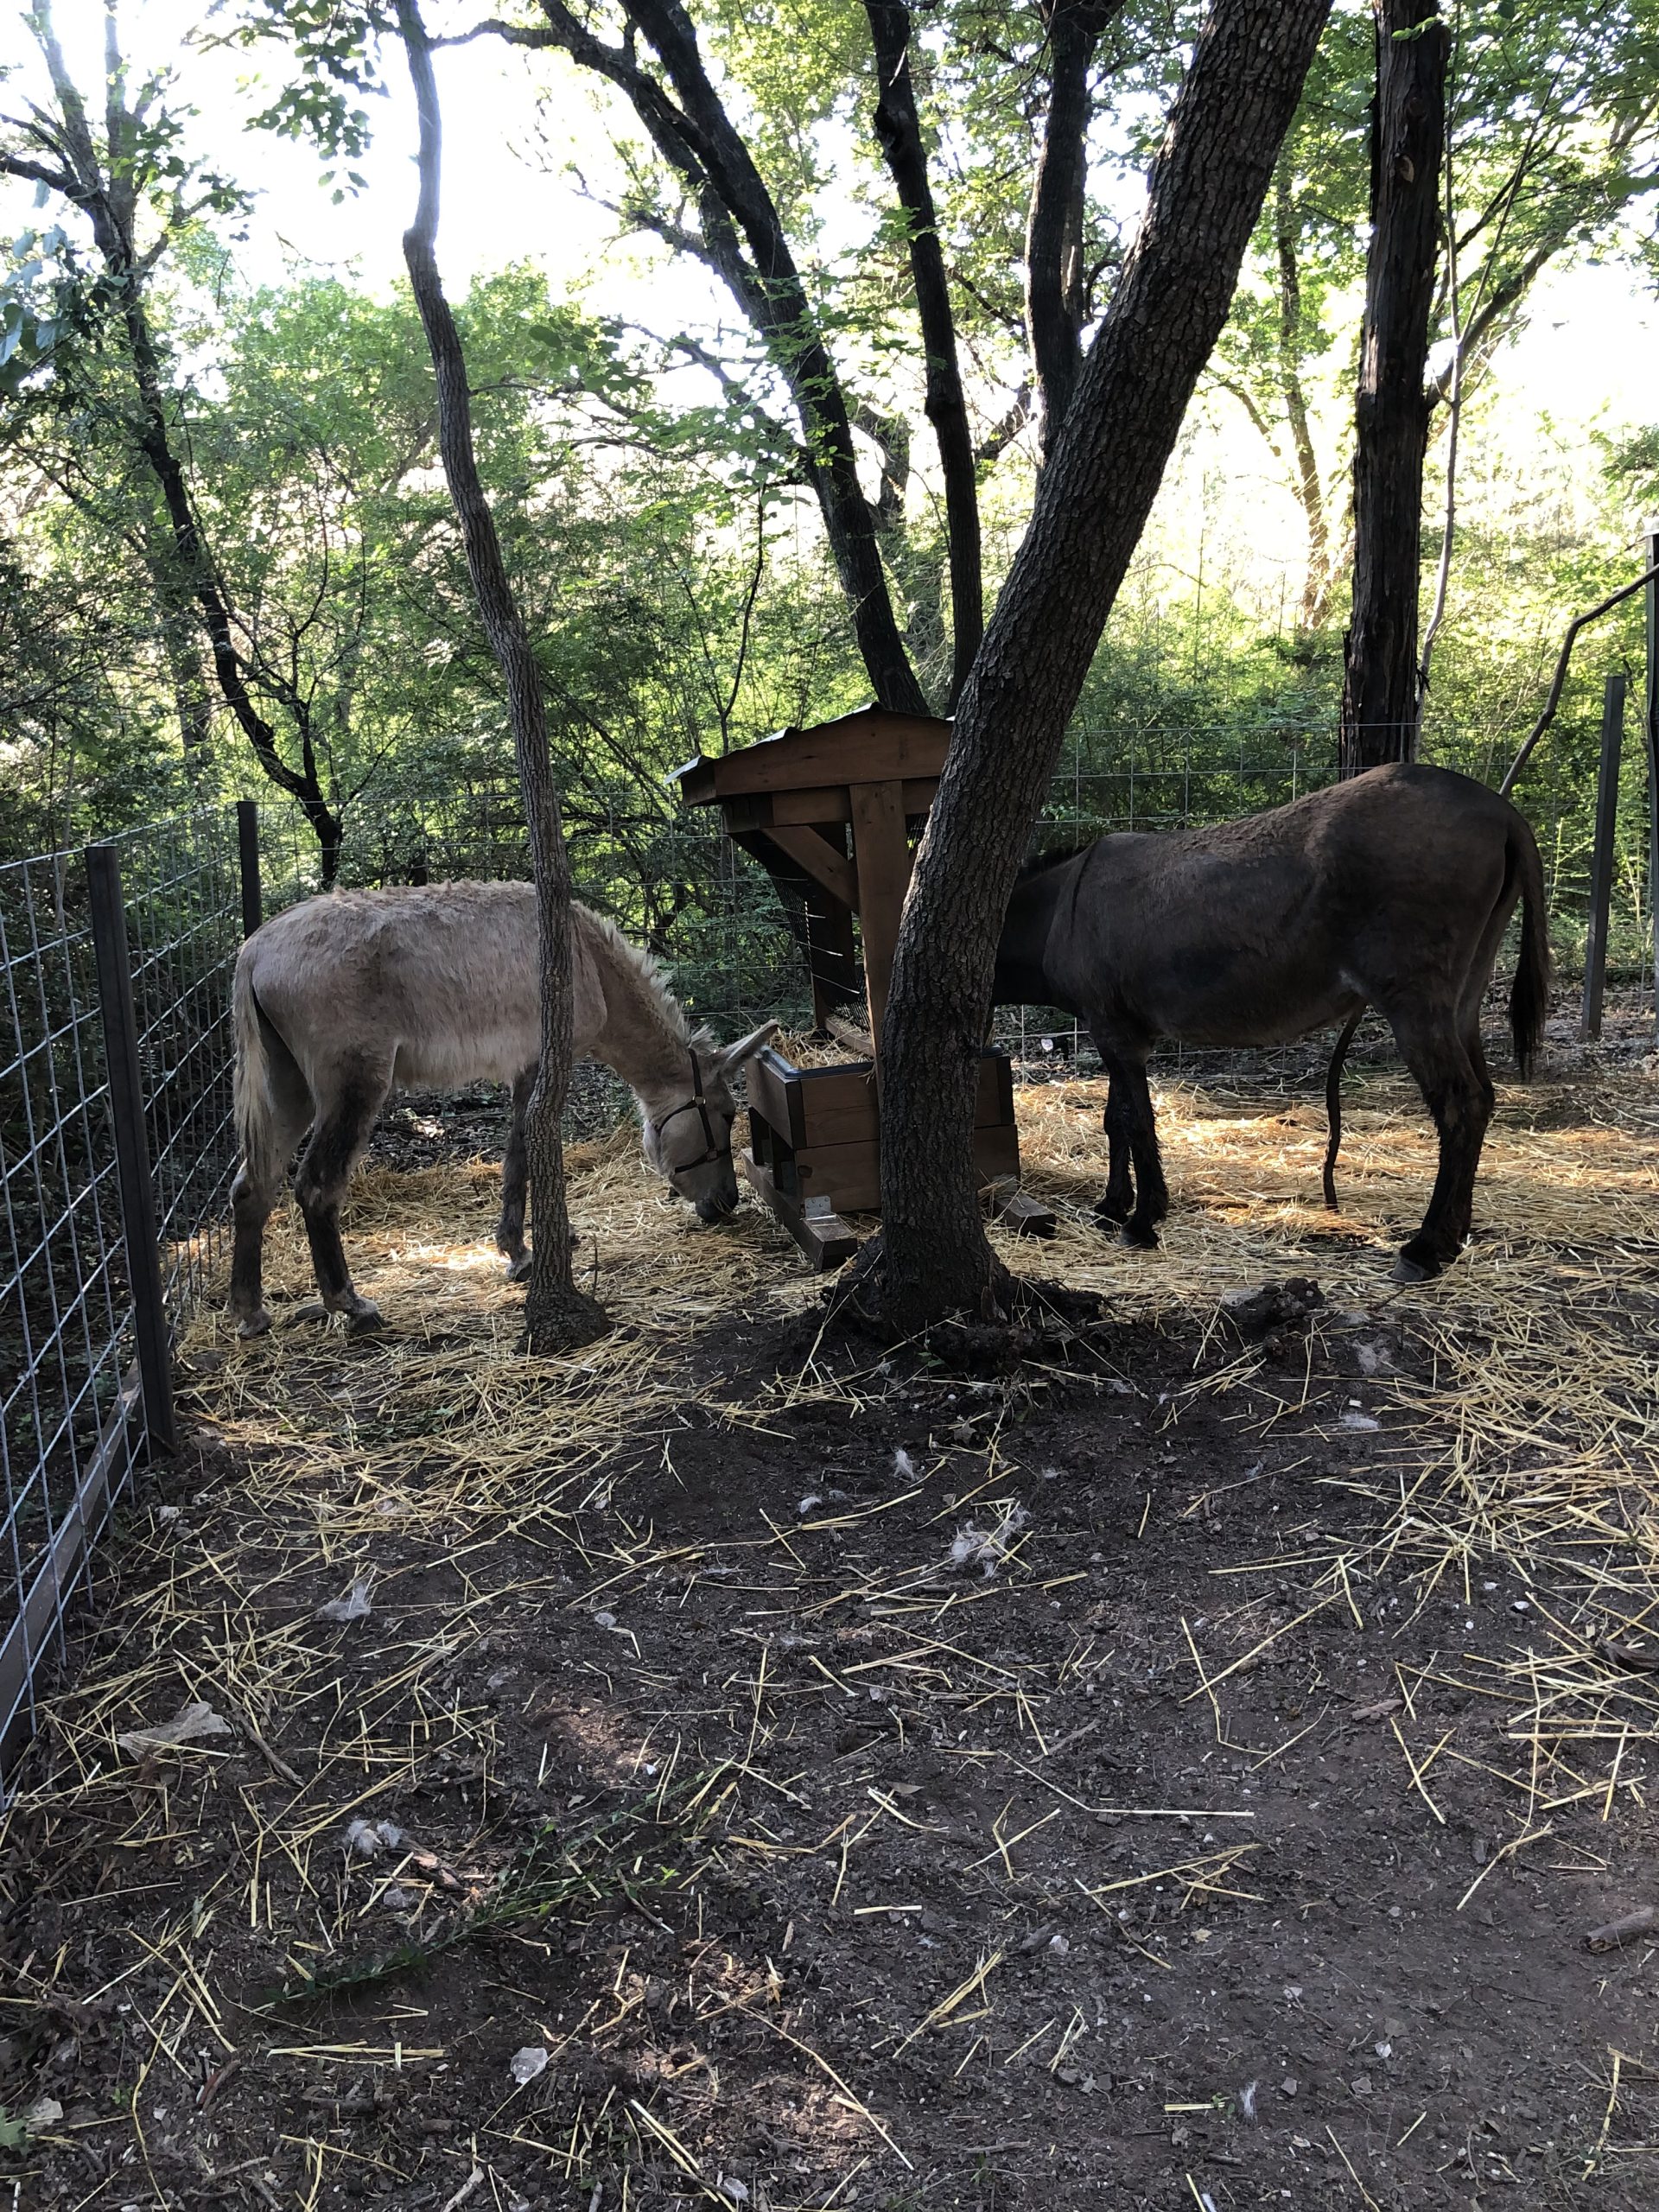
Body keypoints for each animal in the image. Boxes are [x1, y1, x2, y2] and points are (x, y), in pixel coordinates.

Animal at [228, 882, 778, 1337]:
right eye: (728, 1116)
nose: (727, 1201)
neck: (588, 959)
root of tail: (255, 950)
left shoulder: (522, 1072)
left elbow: (519, 1154)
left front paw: (531, 1243)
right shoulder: (542, 1067)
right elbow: (527, 1152)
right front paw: (524, 1250)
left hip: (289, 1091)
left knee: (252, 1188)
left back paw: (250, 1311)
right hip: (354, 1086)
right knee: (316, 1188)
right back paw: (349, 1303)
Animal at [993, 762, 1549, 1282]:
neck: (1059, 911)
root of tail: (1502, 811)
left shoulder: (1115, 1033)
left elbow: (1136, 1120)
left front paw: (1141, 1222)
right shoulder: (1118, 1033)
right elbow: (1115, 1121)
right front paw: (1111, 1207)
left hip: (1415, 1002)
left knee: (1460, 1104)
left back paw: (1425, 1248)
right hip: (1465, 997)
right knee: (1484, 1096)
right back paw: (1457, 1233)